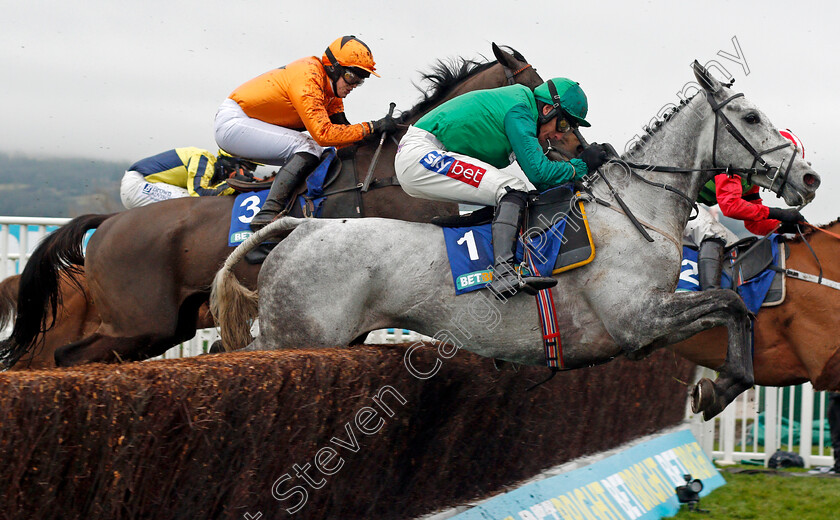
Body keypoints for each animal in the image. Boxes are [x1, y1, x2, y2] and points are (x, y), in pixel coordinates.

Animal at [0, 45, 548, 370]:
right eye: (539, 89)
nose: (564, 140)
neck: (389, 167)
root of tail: (110, 222)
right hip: (140, 321)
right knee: (65, 355)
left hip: (162, 323)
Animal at [212, 61, 820, 420]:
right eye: (750, 116)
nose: (810, 179)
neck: (635, 211)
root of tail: (302, 226)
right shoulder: (637, 319)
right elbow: (733, 303)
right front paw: (719, 387)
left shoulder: (650, 325)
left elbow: (734, 308)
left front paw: (720, 386)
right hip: (300, 336)